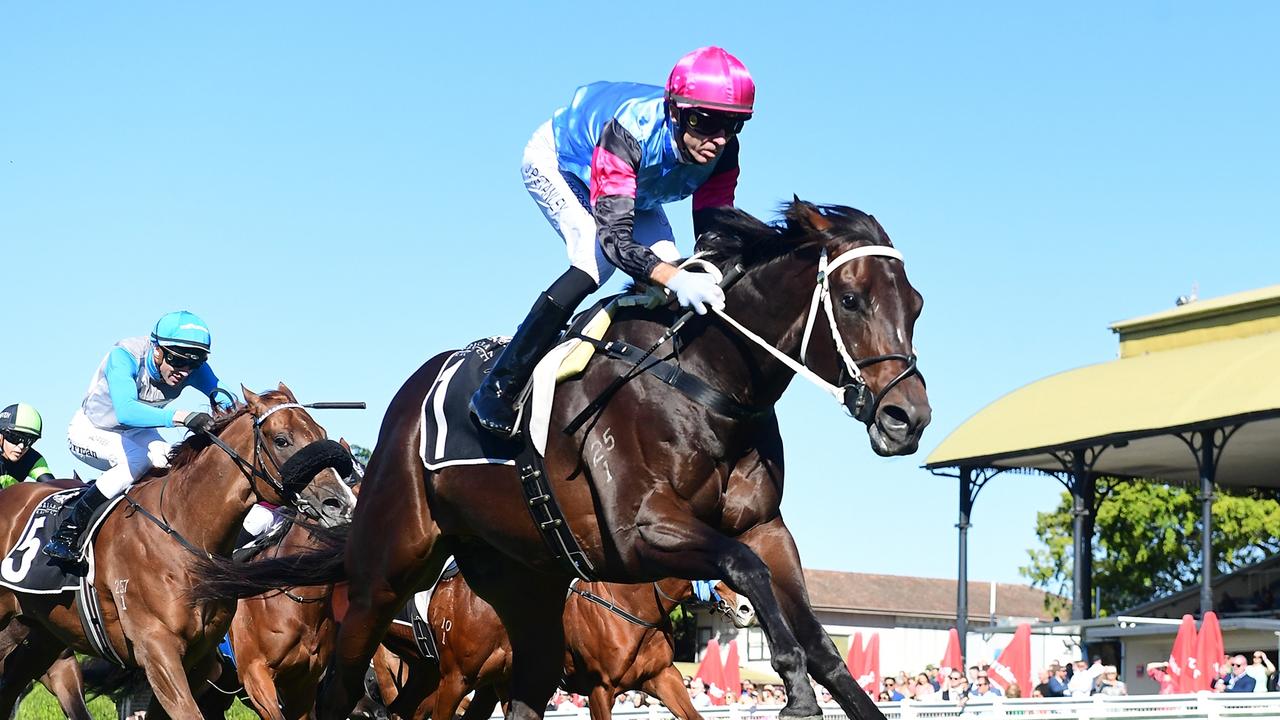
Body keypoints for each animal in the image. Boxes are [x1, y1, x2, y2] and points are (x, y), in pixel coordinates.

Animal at [0, 386, 355, 717]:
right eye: (282, 440)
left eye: (320, 433)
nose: (340, 503)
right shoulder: (164, 651)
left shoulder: (213, 663)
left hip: (42, 635)